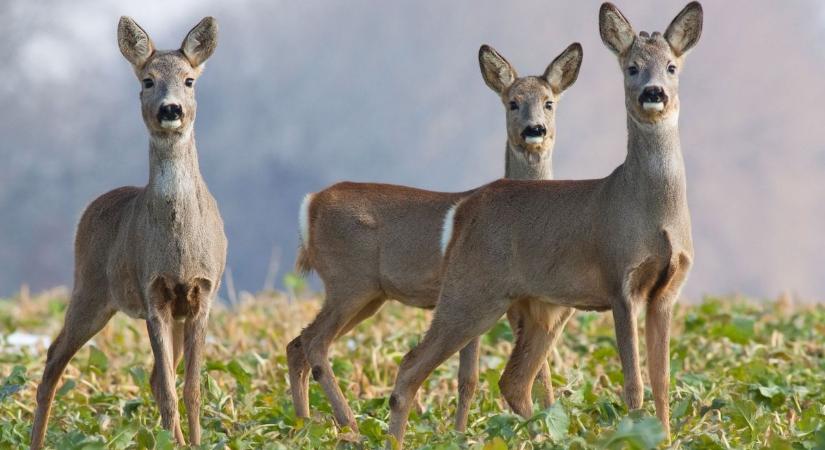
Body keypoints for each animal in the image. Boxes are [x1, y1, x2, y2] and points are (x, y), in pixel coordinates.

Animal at [29, 15, 225, 448]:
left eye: (189, 80)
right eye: (148, 80)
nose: (170, 109)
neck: (179, 246)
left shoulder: (201, 294)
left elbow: (190, 388)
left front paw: (194, 442)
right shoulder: (152, 292)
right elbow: (170, 388)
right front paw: (179, 441)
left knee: (151, 376)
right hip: (90, 289)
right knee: (53, 358)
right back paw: (37, 440)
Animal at [286, 43, 584, 432]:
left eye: (549, 102)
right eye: (512, 102)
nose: (534, 130)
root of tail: (310, 205)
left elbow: (483, 376)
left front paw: (463, 431)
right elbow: (484, 375)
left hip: (369, 296)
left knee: (296, 344)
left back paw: (304, 424)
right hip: (349, 282)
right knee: (314, 342)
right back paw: (350, 426)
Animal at [388, 2, 700, 446]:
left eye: (672, 67)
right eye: (632, 67)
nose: (653, 93)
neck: (653, 214)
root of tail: (466, 207)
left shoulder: (667, 290)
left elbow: (663, 379)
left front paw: (665, 437)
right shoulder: (618, 280)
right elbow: (633, 383)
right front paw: (635, 433)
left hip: (533, 310)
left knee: (512, 380)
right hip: (471, 292)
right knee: (412, 364)